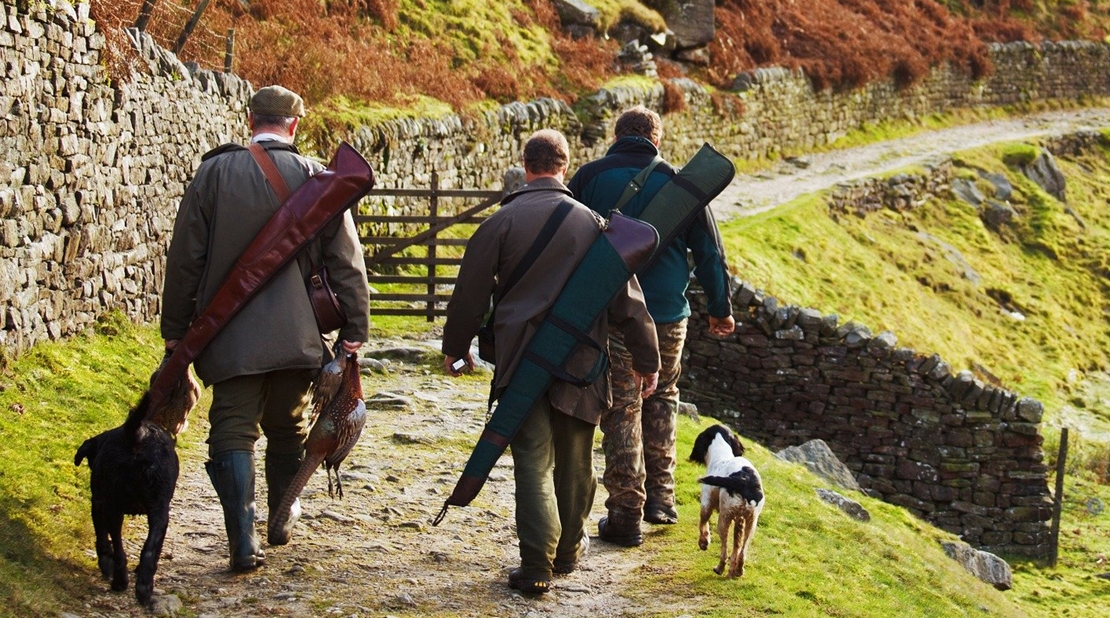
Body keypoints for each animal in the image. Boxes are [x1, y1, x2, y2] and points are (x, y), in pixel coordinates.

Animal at [74, 392, 178, 603]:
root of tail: (137, 435)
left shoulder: (97, 503)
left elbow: (102, 538)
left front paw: (105, 562)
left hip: (113, 506)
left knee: (118, 548)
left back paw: (119, 581)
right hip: (159, 510)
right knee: (149, 550)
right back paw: (144, 587)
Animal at [683, 421, 763, 576]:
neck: (722, 455)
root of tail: (744, 479)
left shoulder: (706, 503)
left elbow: (703, 524)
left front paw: (704, 542)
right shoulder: (740, 520)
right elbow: (737, 546)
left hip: (725, 518)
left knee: (724, 548)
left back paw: (719, 568)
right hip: (751, 522)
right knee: (742, 550)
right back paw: (737, 571)